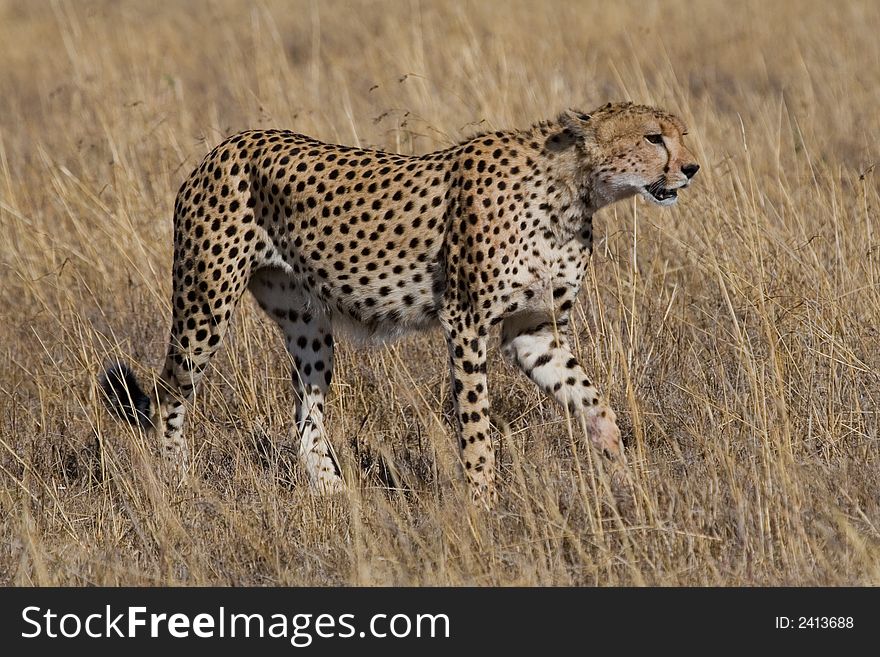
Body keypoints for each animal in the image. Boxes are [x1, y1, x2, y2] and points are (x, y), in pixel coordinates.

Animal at [103, 101, 696, 502]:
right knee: (169, 391)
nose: (690, 168)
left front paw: (620, 464)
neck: (571, 191)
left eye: (682, 136)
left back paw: (335, 496)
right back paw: (177, 481)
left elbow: (591, 398)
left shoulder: (533, 330)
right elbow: (476, 424)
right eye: (653, 138)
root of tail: (226, 144)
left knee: (305, 411)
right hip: (204, 303)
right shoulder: (466, 322)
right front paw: (483, 502)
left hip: (307, 324)